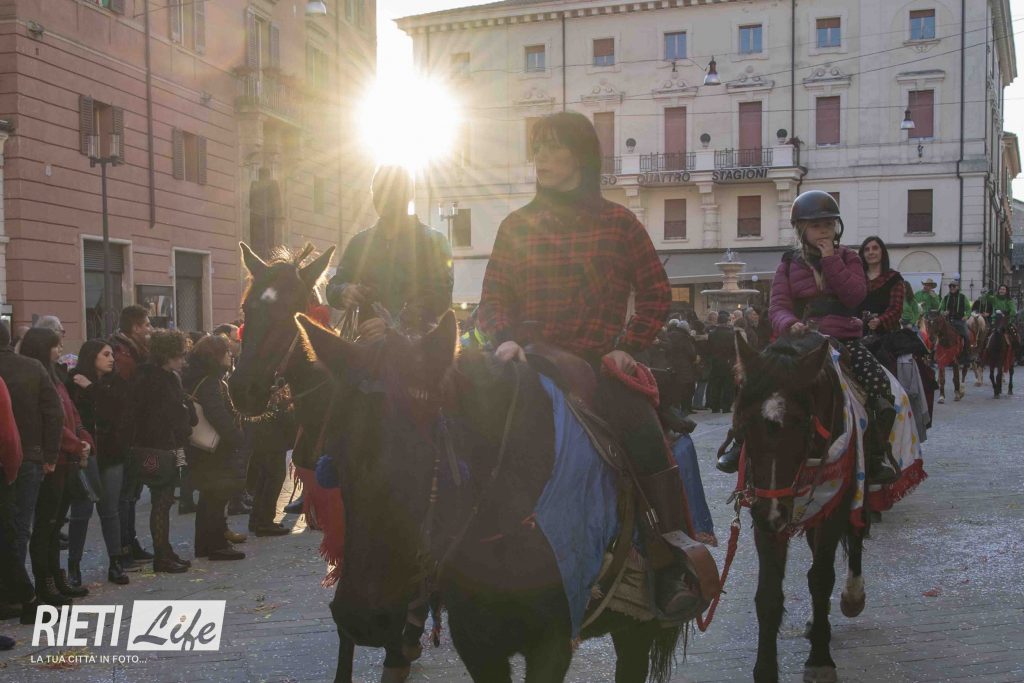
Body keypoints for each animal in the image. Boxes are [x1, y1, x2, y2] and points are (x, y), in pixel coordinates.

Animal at [297, 312, 686, 683]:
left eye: (423, 456)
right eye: (334, 457)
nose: (359, 618)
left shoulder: (552, 641)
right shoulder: (476, 641)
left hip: (637, 626)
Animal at [732, 333, 866, 683]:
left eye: (802, 424)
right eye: (744, 425)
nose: (772, 513)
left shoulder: (834, 507)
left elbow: (820, 578)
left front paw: (819, 660)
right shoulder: (763, 514)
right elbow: (768, 594)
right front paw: (765, 669)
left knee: (857, 534)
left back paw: (852, 597)